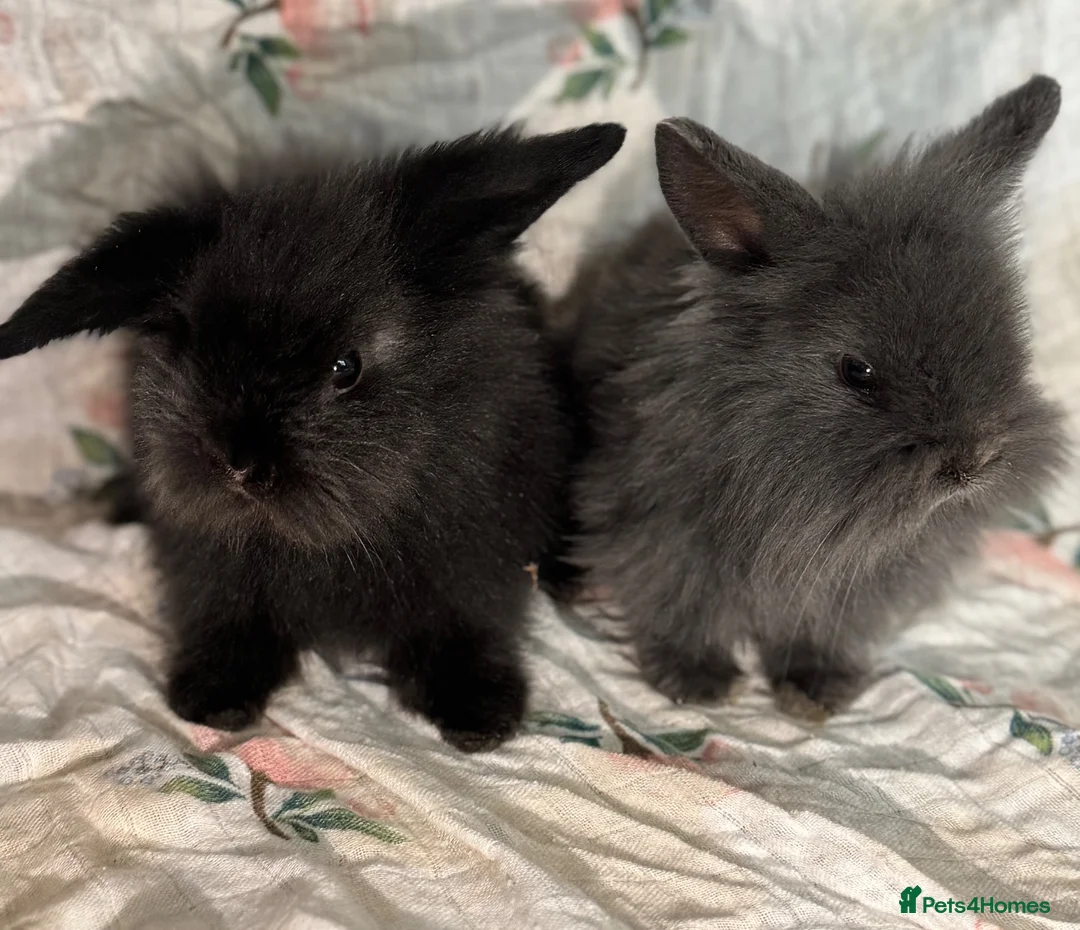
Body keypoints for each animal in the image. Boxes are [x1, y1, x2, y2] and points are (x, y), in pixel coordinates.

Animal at [0, 123, 627, 751]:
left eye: (346, 367)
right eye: (191, 344)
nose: (238, 462)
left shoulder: (472, 558)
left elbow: (466, 621)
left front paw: (480, 716)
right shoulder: (212, 568)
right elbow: (224, 616)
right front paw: (213, 698)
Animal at [562, 76, 1067, 718]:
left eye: (1008, 338)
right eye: (857, 370)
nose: (972, 463)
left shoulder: (846, 590)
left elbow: (816, 631)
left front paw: (814, 690)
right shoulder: (663, 538)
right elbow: (677, 608)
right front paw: (696, 682)